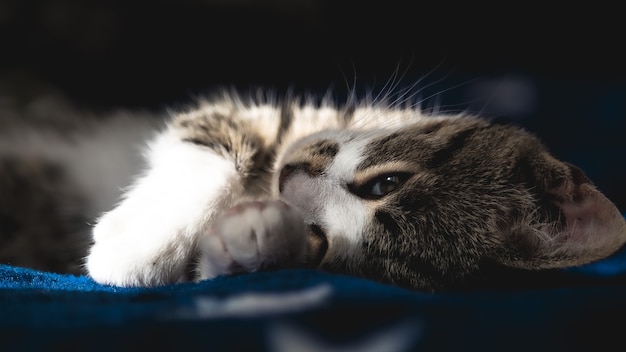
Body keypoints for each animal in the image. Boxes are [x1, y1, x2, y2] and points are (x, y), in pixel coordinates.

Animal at [1, 86, 624, 292]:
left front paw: (253, 238)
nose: (286, 185)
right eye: (387, 182)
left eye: (321, 245)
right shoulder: (249, 117)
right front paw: (142, 245)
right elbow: (216, 144)